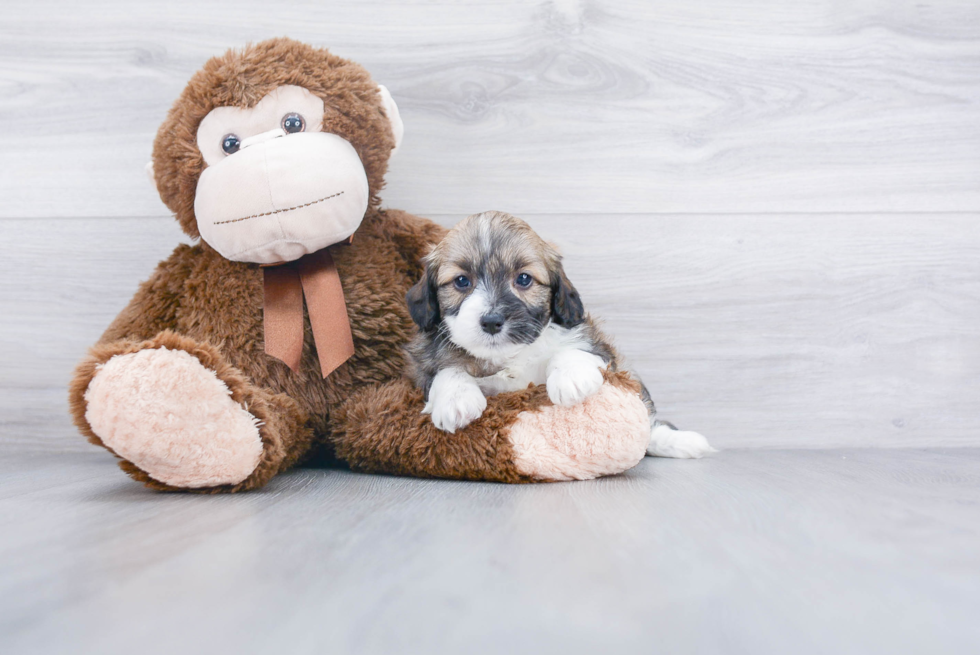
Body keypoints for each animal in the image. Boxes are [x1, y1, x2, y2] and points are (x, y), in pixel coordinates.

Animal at [402, 213, 716, 458]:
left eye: (524, 279)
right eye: (461, 281)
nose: (491, 321)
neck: (508, 357)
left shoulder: (597, 346)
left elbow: (571, 350)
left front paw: (571, 379)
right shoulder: (423, 368)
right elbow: (447, 370)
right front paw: (456, 399)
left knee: (649, 422)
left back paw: (681, 441)